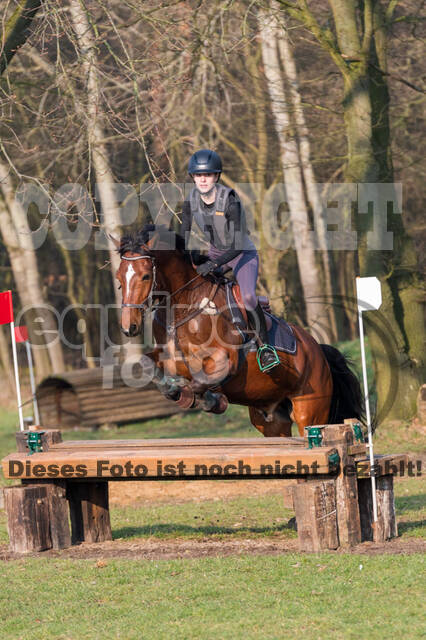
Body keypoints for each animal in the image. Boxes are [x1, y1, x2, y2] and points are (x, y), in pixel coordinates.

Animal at [115, 222, 364, 438]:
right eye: (119, 279)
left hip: (310, 412)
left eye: (146, 276)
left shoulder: (224, 360)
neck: (185, 306)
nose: (129, 327)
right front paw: (178, 392)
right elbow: (148, 364)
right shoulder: (168, 356)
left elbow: (201, 382)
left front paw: (210, 400)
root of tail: (318, 351)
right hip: (271, 420)